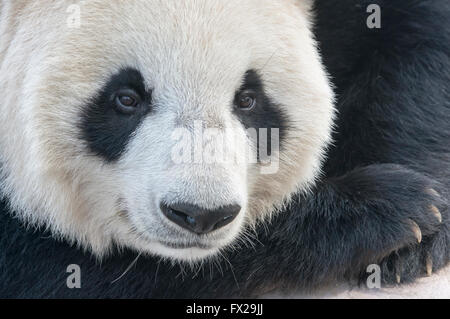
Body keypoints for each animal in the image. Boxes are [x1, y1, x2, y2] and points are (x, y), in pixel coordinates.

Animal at [0, 0, 448, 300]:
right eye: (126, 98)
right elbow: (44, 271)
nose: (201, 215)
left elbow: (414, 39)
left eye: (247, 99)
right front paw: (382, 210)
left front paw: (420, 233)